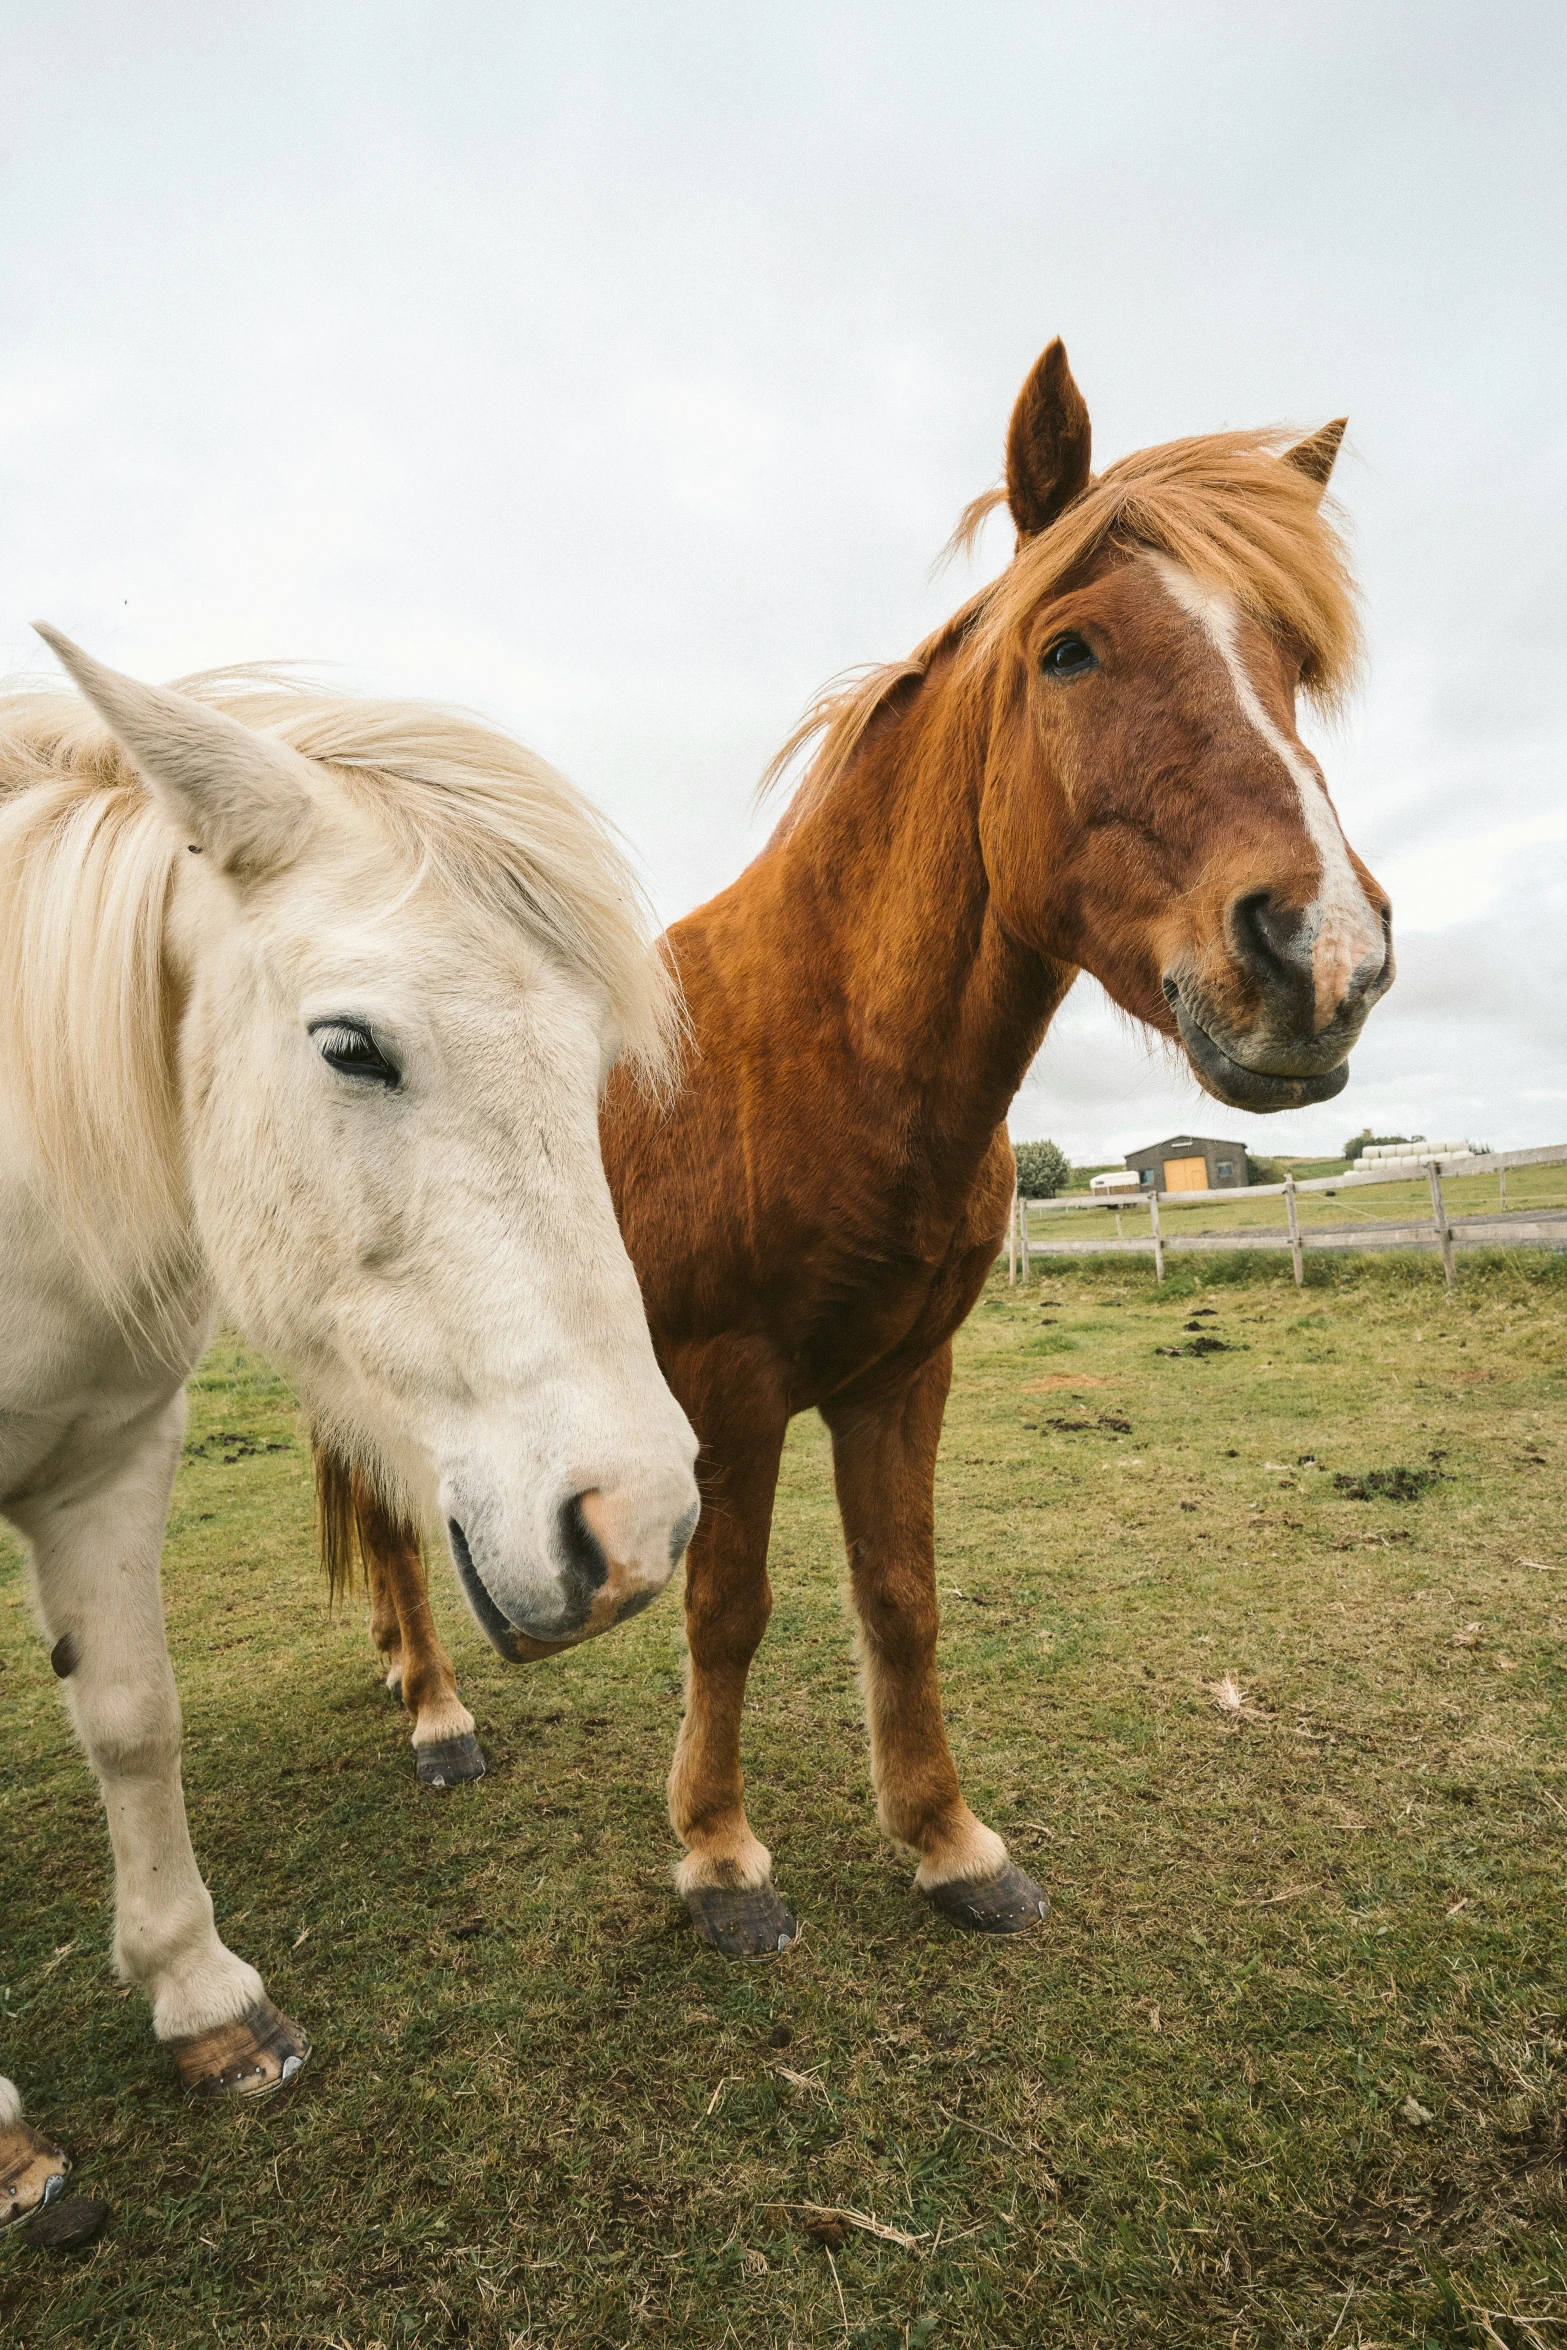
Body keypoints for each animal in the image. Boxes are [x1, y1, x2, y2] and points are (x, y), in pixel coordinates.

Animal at [328, 343, 1400, 1964]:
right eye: (1068, 651)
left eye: (1286, 659)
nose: (1320, 953)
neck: (828, 1045)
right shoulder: (726, 1387)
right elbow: (729, 1609)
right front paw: (719, 1856)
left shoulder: (900, 1373)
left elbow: (899, 1596)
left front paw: (947, 1840)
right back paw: (440, 1713)